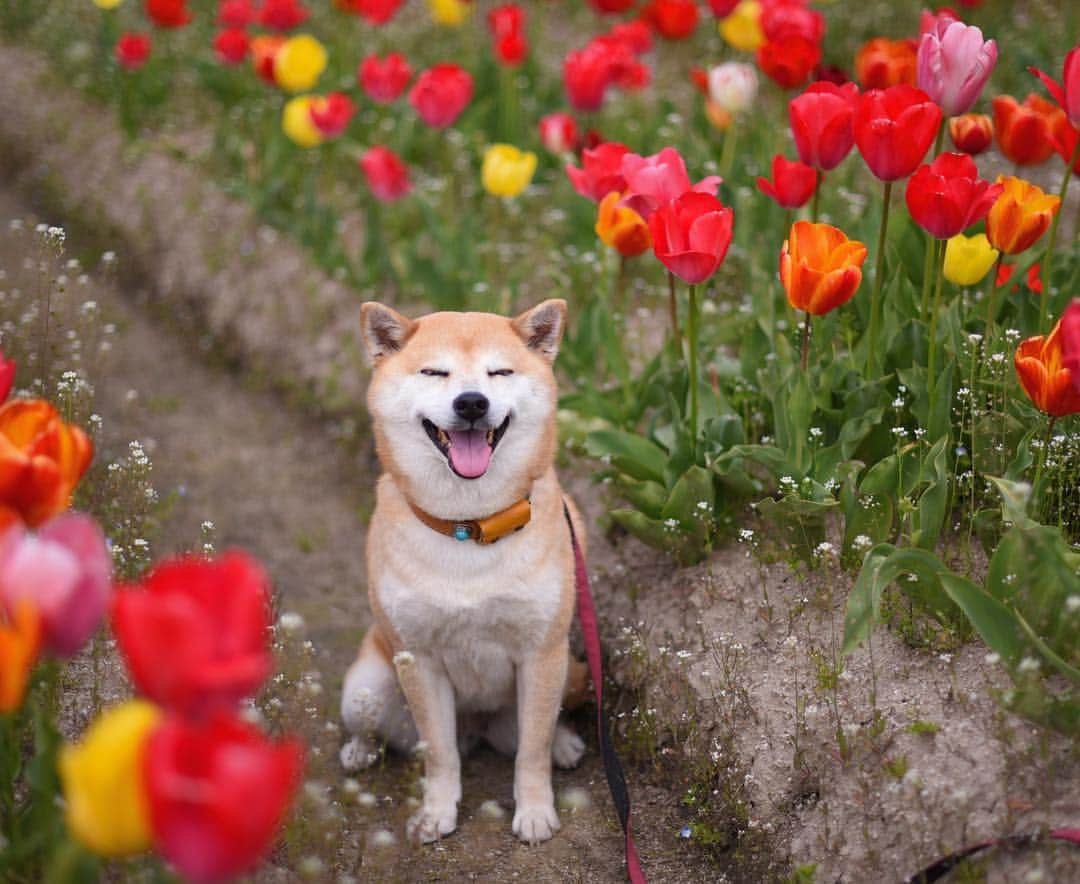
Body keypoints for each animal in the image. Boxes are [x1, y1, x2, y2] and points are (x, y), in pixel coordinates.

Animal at [339, 300, 591, 846]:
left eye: (500, 372)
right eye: (435, 372)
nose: (472, 402)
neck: (469, 526)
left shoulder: (541, 654)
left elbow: (532, 751)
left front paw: (535, 812)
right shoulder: (419, 659)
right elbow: (439, 751)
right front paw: (437, 812)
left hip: (568, 670)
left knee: (543, 728)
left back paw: (564, 743)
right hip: (366, 687)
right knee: (378, 728)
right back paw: (359, 750)